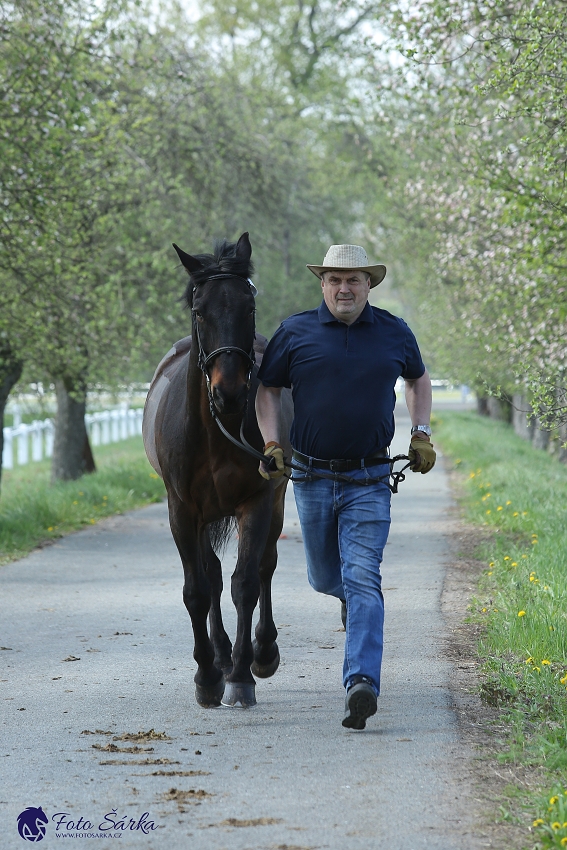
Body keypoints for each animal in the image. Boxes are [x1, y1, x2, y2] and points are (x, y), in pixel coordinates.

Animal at [142, 232, 292, 708]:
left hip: (277, 499)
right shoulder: (183, 510)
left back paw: (261, 651)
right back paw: (221, 655)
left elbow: (245, 582)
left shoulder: (256, 501)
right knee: (209, 575)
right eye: (199, 309)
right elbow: (197, 590)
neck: (215, 431)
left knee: (265, 566)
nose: (229, 393)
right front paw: (208, 675)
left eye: (249, 306)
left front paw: (243, 675)